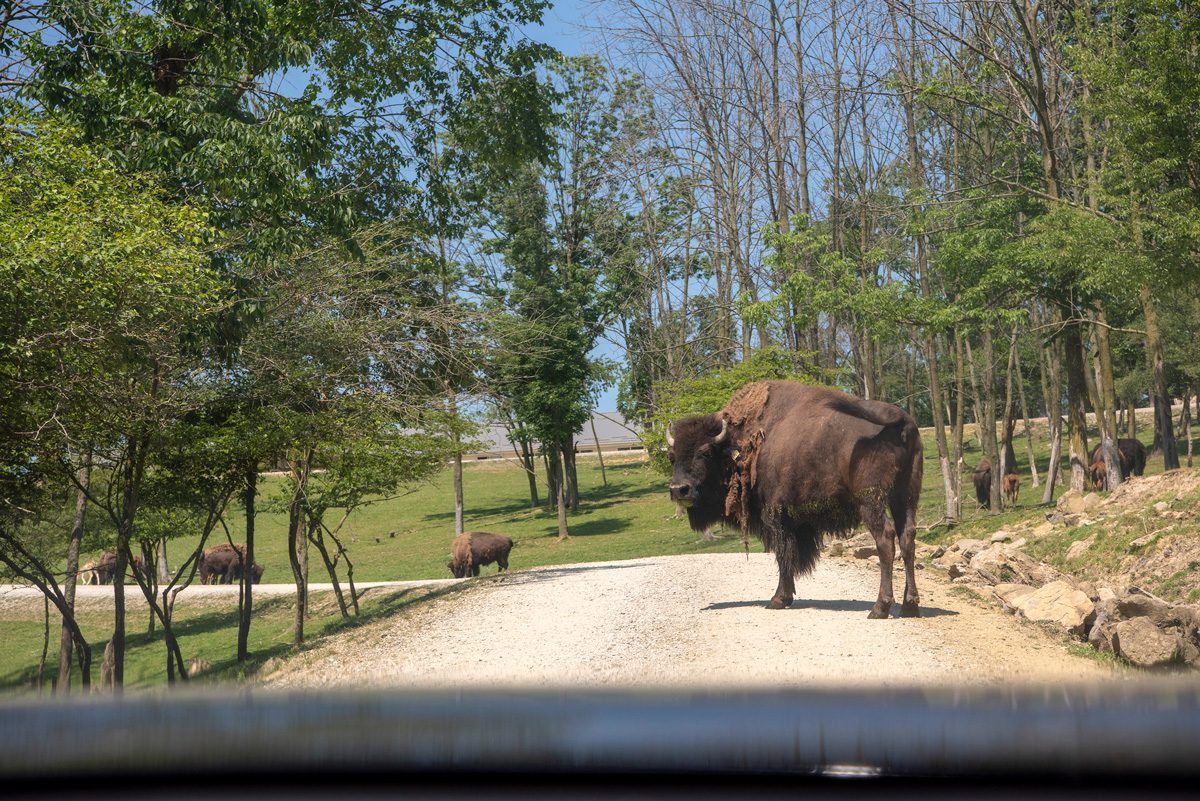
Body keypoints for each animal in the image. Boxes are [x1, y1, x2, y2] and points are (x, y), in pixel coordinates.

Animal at [667, 381, 916, 618]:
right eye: (672, 457)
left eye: (706, 453)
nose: (679, 490)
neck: (738, 445)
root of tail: (901, 418)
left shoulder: (775, 515)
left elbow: (783, 555)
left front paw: (778, 600)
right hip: (905, 495)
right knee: (907, 538)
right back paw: (909, 605)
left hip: (870, 501)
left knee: (886, 539)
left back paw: (880, 608)